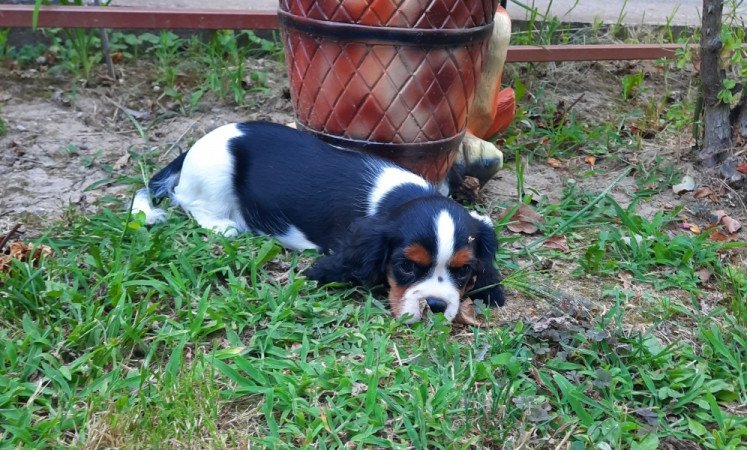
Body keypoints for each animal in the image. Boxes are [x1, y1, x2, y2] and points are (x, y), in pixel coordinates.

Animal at [134, 121, 508, 322]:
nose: (436, 306)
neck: (401, 196)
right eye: (406, 266)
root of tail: (194, 145)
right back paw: (224, 226)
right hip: (215, 172)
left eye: (463, 270)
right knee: (188, 200)